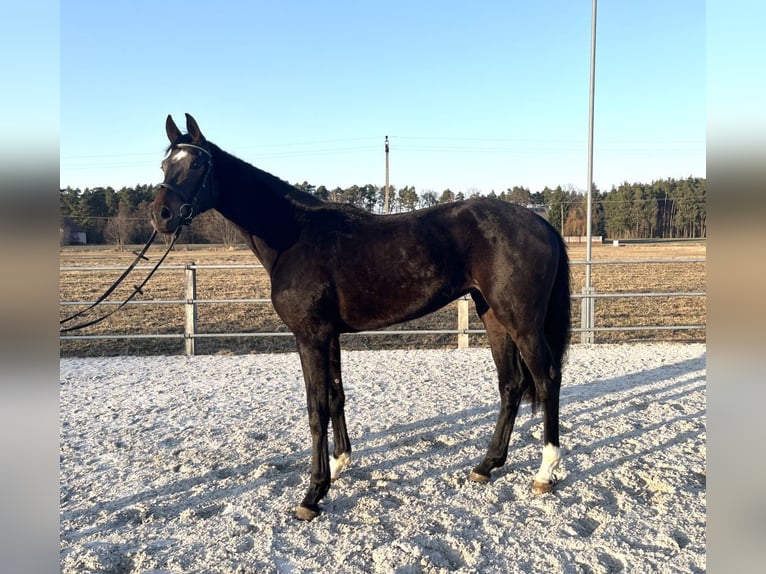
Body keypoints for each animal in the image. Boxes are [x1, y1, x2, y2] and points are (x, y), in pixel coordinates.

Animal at [151, 114, 572, 521]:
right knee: (511, 384)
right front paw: (339, 465)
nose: (161, 215)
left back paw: (545, 472)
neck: (294, 235)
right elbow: (336, 396)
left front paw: (313, 494)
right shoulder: (330, 335)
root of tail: (541, 223)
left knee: (547, 379)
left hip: (522, 321)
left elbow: (316, 408)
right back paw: (487, 465)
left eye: (197, 165)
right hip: (493, 316)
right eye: (164, 164)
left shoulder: (310, 336)